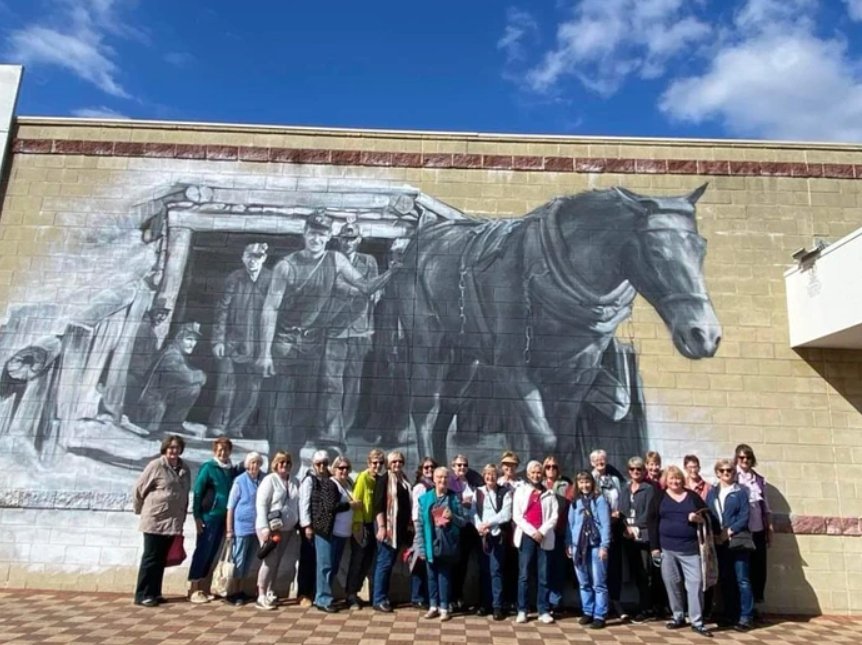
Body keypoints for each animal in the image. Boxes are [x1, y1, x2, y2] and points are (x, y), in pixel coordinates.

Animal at [392, 184, 724, 466]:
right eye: (656, 251)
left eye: (702, 248)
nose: (704, 335)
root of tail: (422, 241)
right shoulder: (512, 368)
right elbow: (544, 438)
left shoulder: (577, 376)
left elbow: (563, 442)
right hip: (428, 346)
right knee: (425, 412)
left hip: (465, 357)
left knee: (446, 410)